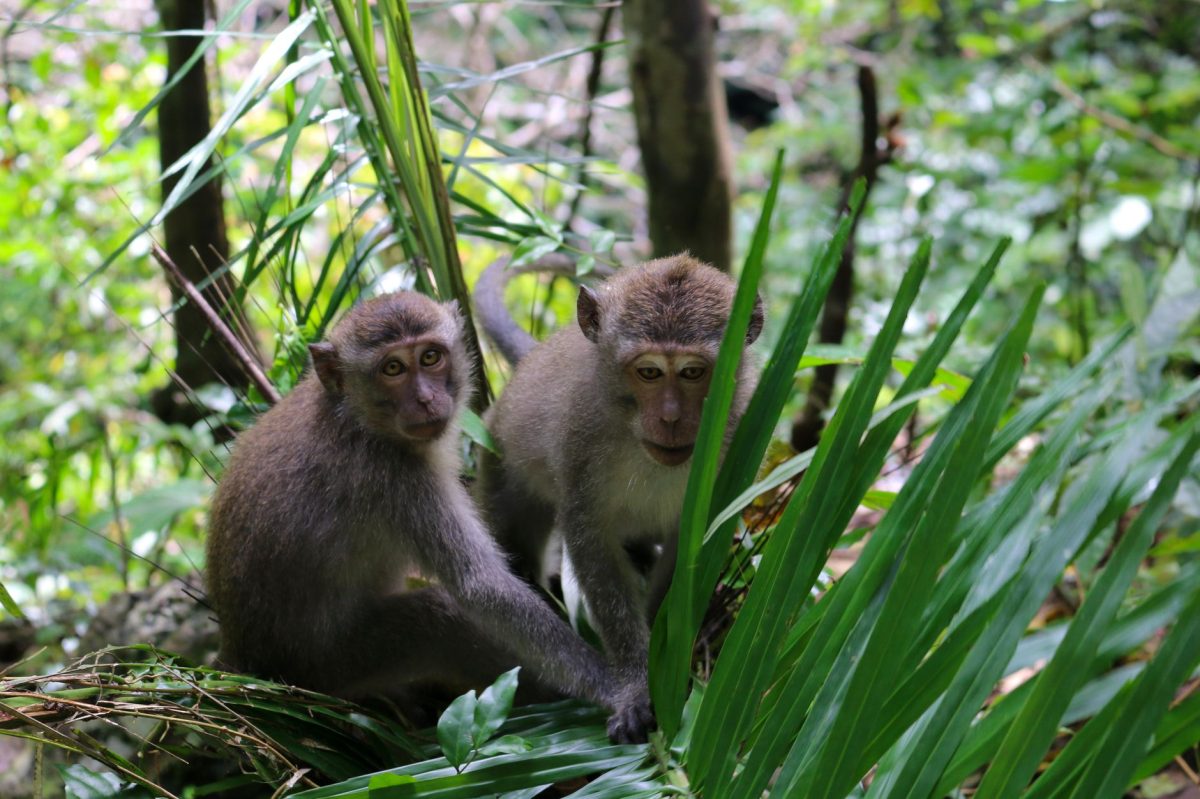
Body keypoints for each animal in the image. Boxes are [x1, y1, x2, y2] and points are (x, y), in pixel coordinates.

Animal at [205, 291, 641, 731]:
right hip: (333, 666)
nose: (426, 399)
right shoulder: (396, 478)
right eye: (393, 368)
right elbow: (481, 586)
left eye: (431, 357)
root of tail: (240, 659)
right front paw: (616, 687)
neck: (356, 417)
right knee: (437, 619)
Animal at [474, 254, 763, 744]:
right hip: (498, 459)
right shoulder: (580, 437)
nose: (671, 418)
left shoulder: (738, 432)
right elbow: (591, 541)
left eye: (693, 372)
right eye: (649, 371)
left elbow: (689, 549)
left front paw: (663, 657)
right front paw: (636, 683)